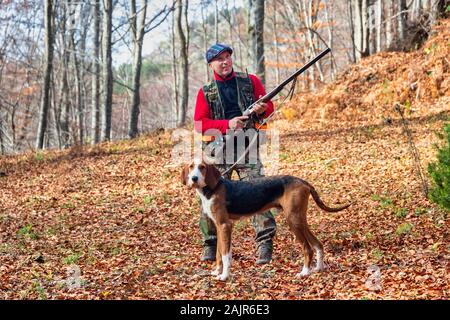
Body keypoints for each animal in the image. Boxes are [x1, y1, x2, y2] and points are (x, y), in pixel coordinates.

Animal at [181, 160, 350, 280]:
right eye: (191, 167)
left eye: (202, 167)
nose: (194, 178)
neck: (212, 189)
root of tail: (302, 181)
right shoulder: (218, 226)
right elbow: (218, 253)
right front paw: (217, 272)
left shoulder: (225, 225)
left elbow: (225, 254)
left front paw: (224, 276)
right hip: (300, 219)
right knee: (318, 244)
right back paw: (318, 268)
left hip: (293, 220)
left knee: (307, 248)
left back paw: (305, 272)